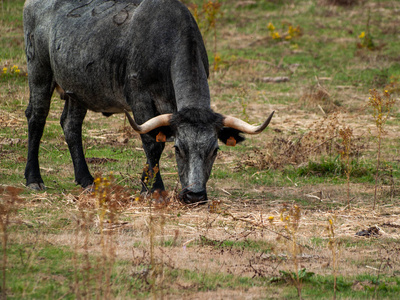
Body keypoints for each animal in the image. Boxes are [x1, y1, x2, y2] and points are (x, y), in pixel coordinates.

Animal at [22, 0, 276, 204]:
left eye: (215, 150)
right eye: (179, 149)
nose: (194, 195)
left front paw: (146, 184)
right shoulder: (140, 98)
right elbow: (152, 142)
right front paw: (154, 189)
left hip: (78, 89)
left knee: (71, 125)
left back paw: (86, 180)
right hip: (39, 72)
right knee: (37, 117)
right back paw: (34, 178)